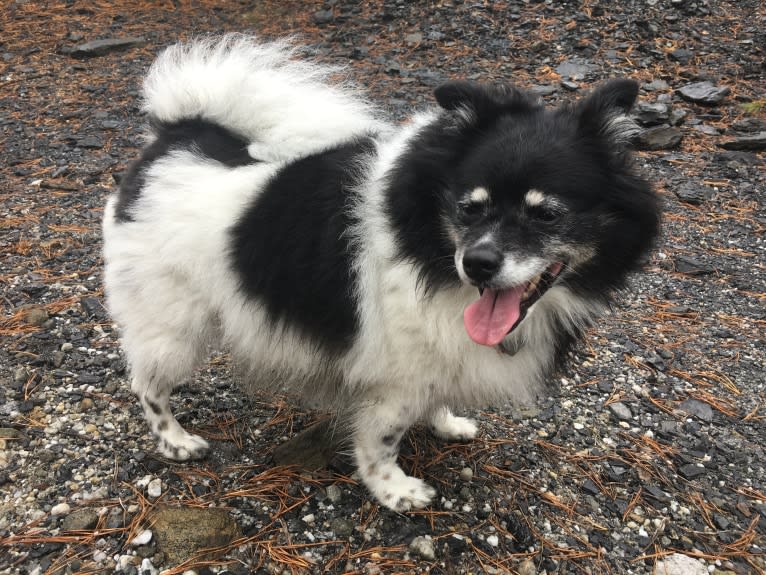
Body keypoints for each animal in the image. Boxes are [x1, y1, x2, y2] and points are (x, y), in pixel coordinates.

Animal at [103, 35, 660, 512]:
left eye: (546, 214)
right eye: (468, 208)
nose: (477, 264)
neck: (429, 253)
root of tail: (177, 137)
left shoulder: (437, 358)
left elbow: (437, 397)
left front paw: (446, 422)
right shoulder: (394, 382)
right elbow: (381, 441)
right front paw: (394, 490)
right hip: (175, 330)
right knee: (148, 385)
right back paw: (176, 442)